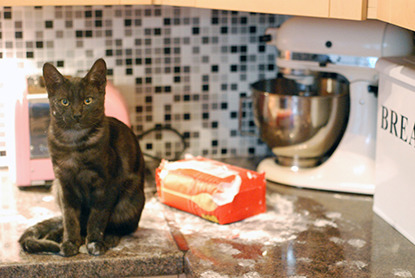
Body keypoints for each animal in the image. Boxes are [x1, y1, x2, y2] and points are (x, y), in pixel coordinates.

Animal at [19, 58, 146, 256]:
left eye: (88, 100)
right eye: (64, 102)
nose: (77, 114)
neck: (74, 143)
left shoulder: (106, 185)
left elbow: (97, 217)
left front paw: (94, 243)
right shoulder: (64, 184)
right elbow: (70, 217)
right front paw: (70, 242)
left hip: (131, 200)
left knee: (121, 226)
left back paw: (109, 237)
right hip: (55, 188)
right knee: (68, 222)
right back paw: (54, 237)